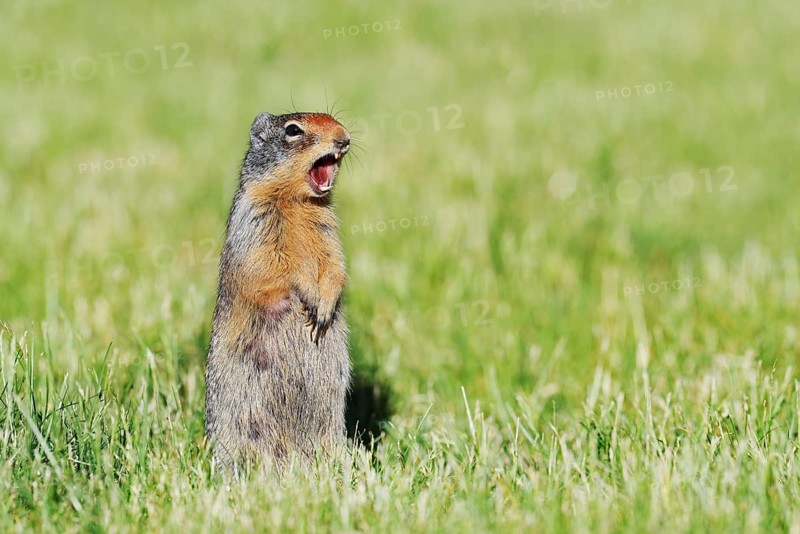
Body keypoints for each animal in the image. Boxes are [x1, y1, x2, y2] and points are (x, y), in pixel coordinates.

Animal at [205, 111, 352, 472]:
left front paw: (324, 309)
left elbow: (335, 264)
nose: (344, 138)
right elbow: (276, 263)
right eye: (293, 130)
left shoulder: (329, 230)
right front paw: (309, 296)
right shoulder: (257, 220)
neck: (299, 201)